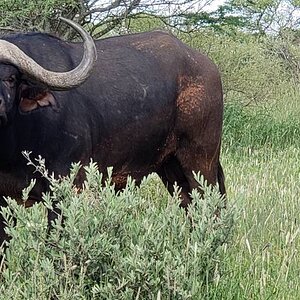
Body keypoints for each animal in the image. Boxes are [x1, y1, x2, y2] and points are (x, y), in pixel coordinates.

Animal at [0, 18, 225, 246]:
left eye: (10, 78)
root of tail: (208, 67)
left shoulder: (66, 188)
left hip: (201, 163)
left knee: (210, 208)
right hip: (171, 168)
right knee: (191, 207)